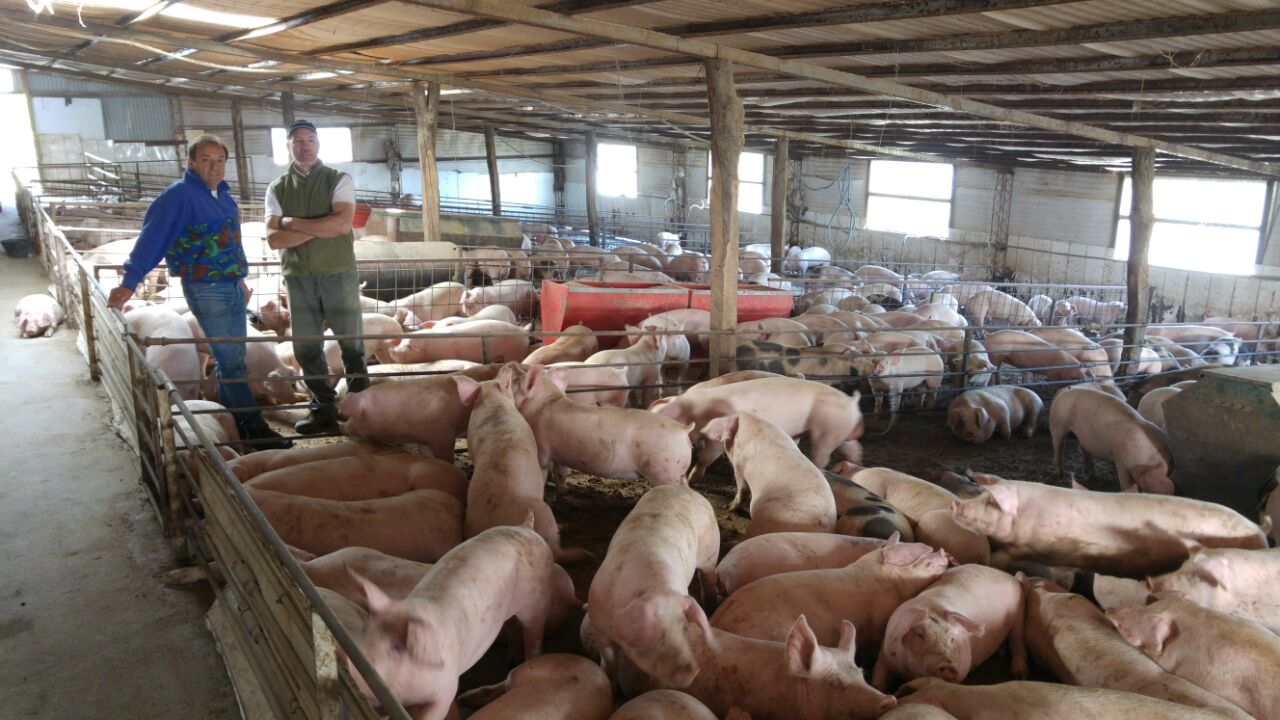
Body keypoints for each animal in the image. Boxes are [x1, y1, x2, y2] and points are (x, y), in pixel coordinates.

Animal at [586, 481, 721, 681]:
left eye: (684, 628)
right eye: (656, 637)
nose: (692, 671)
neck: (655, 590)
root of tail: (685, 489)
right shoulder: (599, 626)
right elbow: (609, 660)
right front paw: (608, 678)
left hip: (710, 551)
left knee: (708, 579)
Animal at [875, 563, 1024, 686]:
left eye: (952, 639)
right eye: (919, 635)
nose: (947, 665)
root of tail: (1011, 577)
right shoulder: (884, 654)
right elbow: (879, 677)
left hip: (1018, 614)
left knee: (1017, 643)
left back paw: (1018, 675)